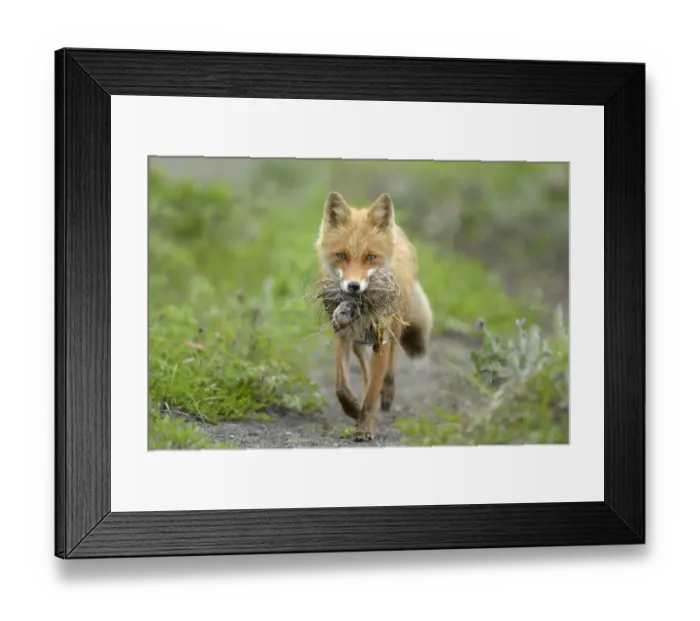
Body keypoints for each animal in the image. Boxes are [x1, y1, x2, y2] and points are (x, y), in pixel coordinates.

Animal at [315, 191, 434, 442]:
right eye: (341, 255)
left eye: (371, 257)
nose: (353, 286)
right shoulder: (343, 332)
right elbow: (341, 386)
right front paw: (352, 408)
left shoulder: (382, 337)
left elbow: (371, 396)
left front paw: (365, 427)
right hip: (360, 341)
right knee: (366, 370)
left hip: (394, 326)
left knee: (391, 361)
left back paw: (387, 391)